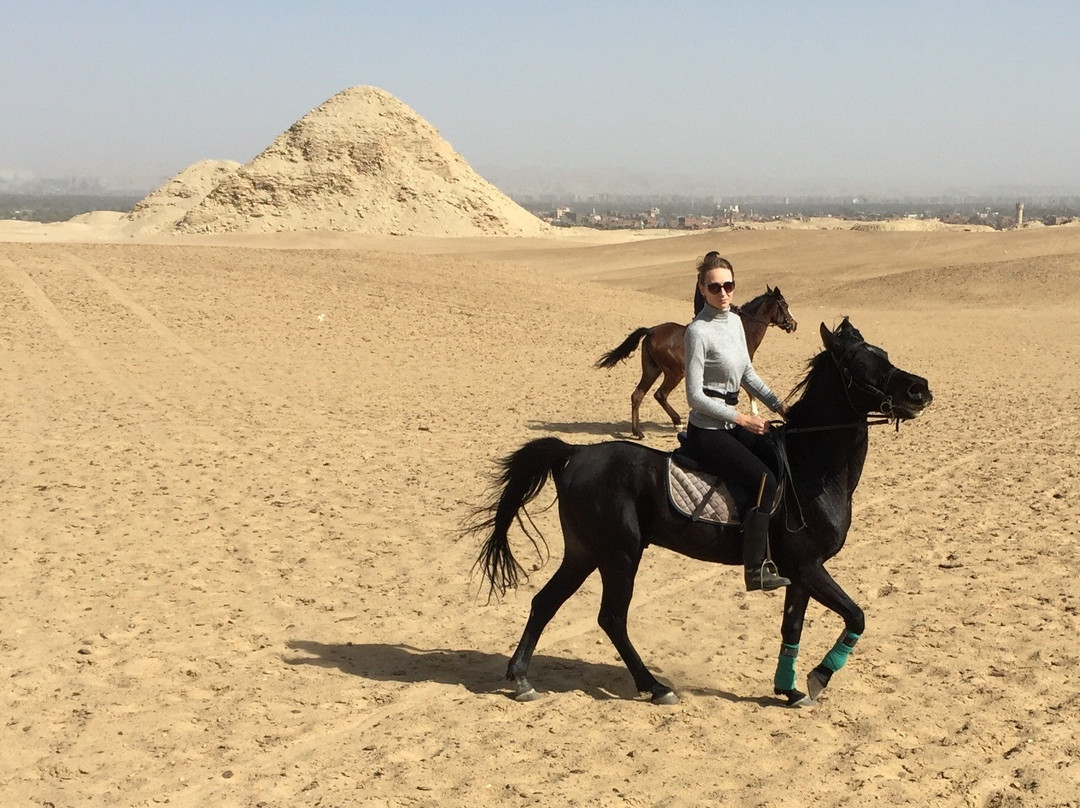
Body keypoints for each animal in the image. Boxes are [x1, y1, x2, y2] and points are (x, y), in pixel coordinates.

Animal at [470, 318, 932, 707]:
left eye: (885, 354)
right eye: (859, 364)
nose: (920, 389)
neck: (810, 466)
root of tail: (576, 453)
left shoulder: (802, 571)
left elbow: (793, 627)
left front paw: (789, 689)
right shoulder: (807, 566)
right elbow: (857, 615)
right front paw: (819, 676)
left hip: (584, 552)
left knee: (544, 603)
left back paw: (522, 678)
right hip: (620, 554)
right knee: (612, 618)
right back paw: (655, 687)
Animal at [595, 287, 797, 439]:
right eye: (785, 305)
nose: (794, 324)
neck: (742, 329)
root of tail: (651, 330)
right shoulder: (738, 370)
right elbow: (749, 392)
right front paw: (754, 415)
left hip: (652, 370)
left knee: (637, 395)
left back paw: (638, 432)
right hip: (675, 373)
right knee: (660, 395)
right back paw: (677, 423)